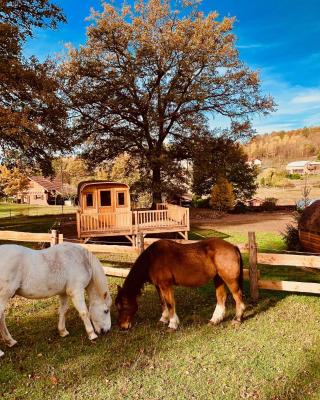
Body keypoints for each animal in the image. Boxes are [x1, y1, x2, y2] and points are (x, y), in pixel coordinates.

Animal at [115, 239, 245, 330]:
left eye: (123, 306)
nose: (122, 326)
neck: (152, 259)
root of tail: (233, 247)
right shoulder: (159, 286)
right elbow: (163, 302)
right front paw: (163, 319)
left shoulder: (166, 285)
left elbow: (170, 303)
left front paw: (172, 324)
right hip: (218, 278)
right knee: (221, 297)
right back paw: (215, 320)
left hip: (229, 279)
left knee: (237, 296)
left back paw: (237, 319)